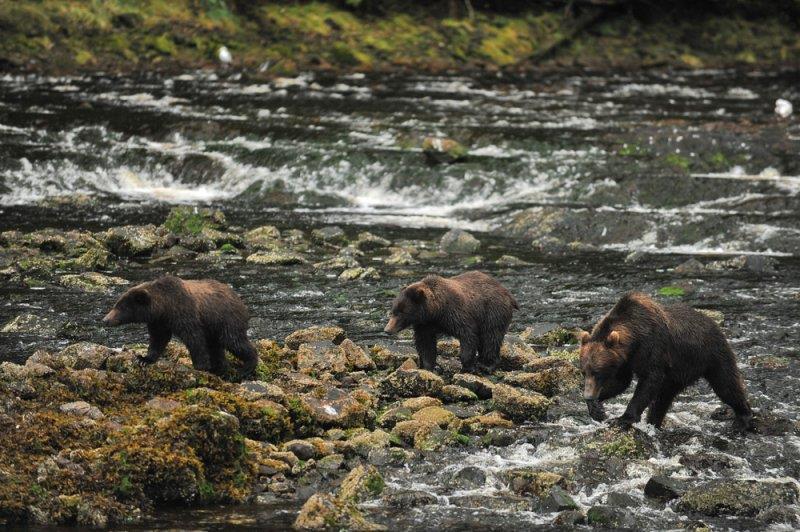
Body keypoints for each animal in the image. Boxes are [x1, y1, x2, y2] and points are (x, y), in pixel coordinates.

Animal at [103, 274, 258, 378]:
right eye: (116, 305)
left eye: (121, 307)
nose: (105, 320)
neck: (164, 307)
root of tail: (240, 300)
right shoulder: (159, 322)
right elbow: (158, 339)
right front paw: (144, 359)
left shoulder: (184, 313)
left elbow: (194, 339)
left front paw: (200, 366)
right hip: (214, 326)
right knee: (216, 347)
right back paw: (220, 368)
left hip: (226, 320)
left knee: (234, 341)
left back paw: (246, 367)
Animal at [382, 270, 520, 374]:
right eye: (393, 311)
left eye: (401, 312)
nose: (387, 330)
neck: (436, 311)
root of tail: (507, 292)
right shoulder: (425, 324)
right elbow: (425, 343)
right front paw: (428, 367)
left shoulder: (455, 313)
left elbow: (468, 335)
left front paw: (468, 367)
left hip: (492, 311)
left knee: (491, 337)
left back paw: (488, 365)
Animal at [580, 290, 752, 432]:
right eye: (584, 372)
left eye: (597, 372)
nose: (588, 395)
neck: (634, 337)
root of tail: (714, 323)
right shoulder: (624, 360)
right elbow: (621, 382)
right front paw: (597, 408)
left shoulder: (652, 347)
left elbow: (648, 381)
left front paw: (622, 419)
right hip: (677, 374)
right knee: (662, 399)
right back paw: (654, 422)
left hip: (711, 356)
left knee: (726, 385)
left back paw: (744, 417)